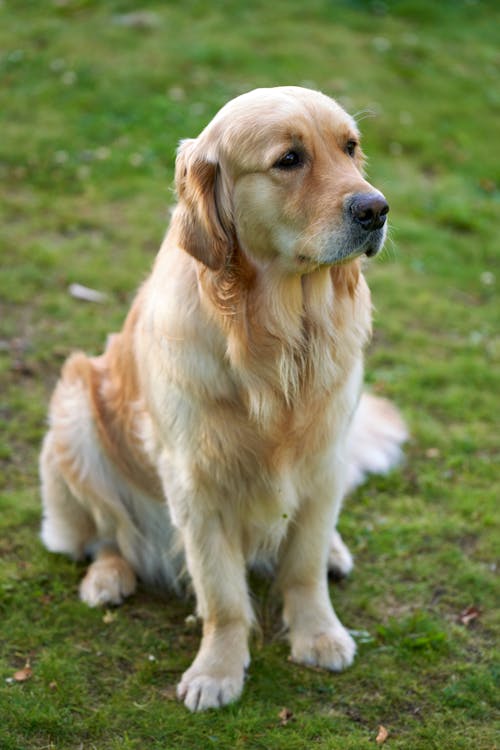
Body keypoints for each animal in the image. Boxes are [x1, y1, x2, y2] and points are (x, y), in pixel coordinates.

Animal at [39, 86, 406, 712]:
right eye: (288, 159)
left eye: (350, 148)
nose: (376, 209)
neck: (278, 338)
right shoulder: (195, 481)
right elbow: (222, 594)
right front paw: (218, 671)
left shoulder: (325, 456)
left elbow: (303, 565)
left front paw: (318, 634)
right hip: (74, 409)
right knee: (106, 532)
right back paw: (107, 577)